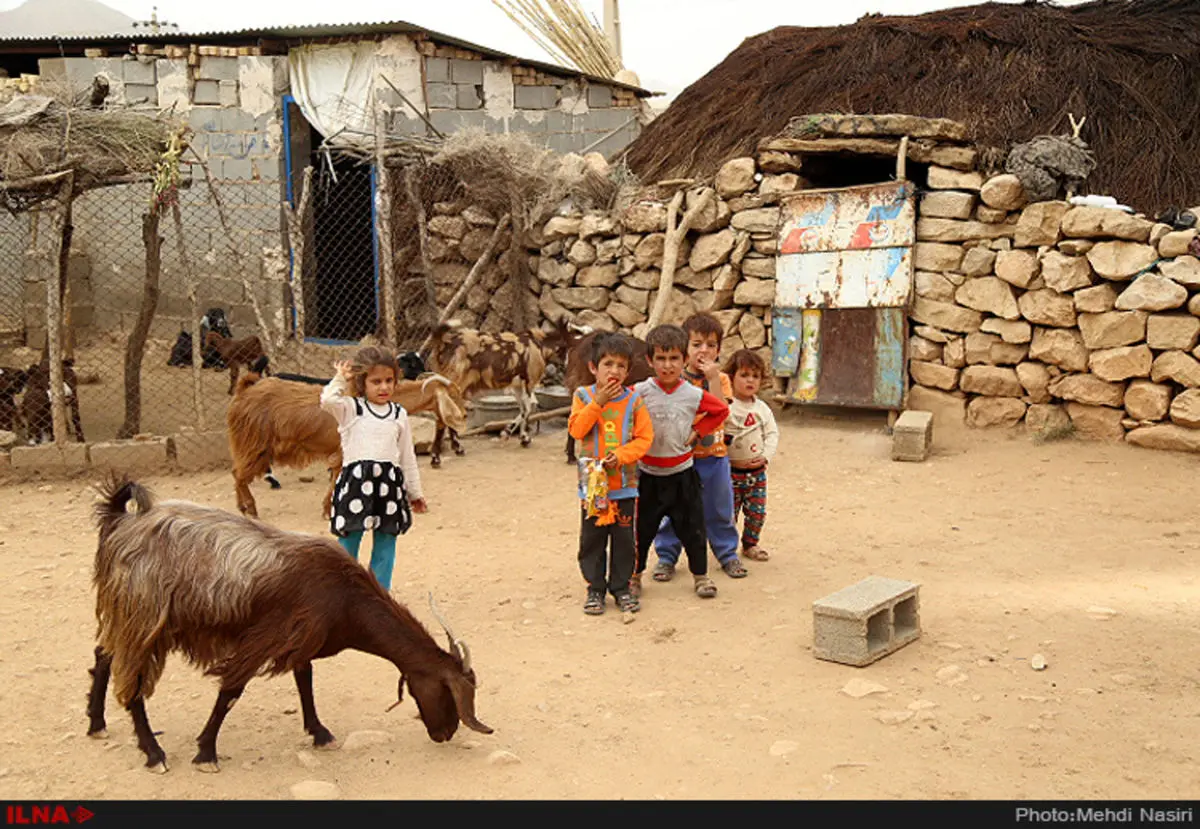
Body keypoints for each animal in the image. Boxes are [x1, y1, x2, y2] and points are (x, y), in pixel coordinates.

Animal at [87, 477, 492, 777]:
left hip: (124, 613)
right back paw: (153, 753)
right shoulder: (267, 637)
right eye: (448, 693)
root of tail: (120, 522)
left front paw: (320, 733)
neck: (344, 595)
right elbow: (231, 691)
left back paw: (96, 722)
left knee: (103, 655)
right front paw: (205, 753)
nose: (445, 734)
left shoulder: (303, 636)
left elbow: (305, 679)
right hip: (143, 616)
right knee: (132, 680)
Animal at [226, 369, 465, 518]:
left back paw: (242, 507)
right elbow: (336, 478)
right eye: (453, 395)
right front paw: (328, 510)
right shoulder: (344, 452)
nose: (463, 414)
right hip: (254, 443)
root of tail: (244, 391)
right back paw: (250, 508)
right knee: (239, 473)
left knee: (236, 472)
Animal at [427, 316, 580, 453]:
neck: (540, 345)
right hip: (457, 386)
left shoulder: (517, 387)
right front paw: (515, 435)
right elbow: (528, 409)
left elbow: (523, 410)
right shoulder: (529, 384)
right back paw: (457, 448)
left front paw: (520, 436)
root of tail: (445, 343)